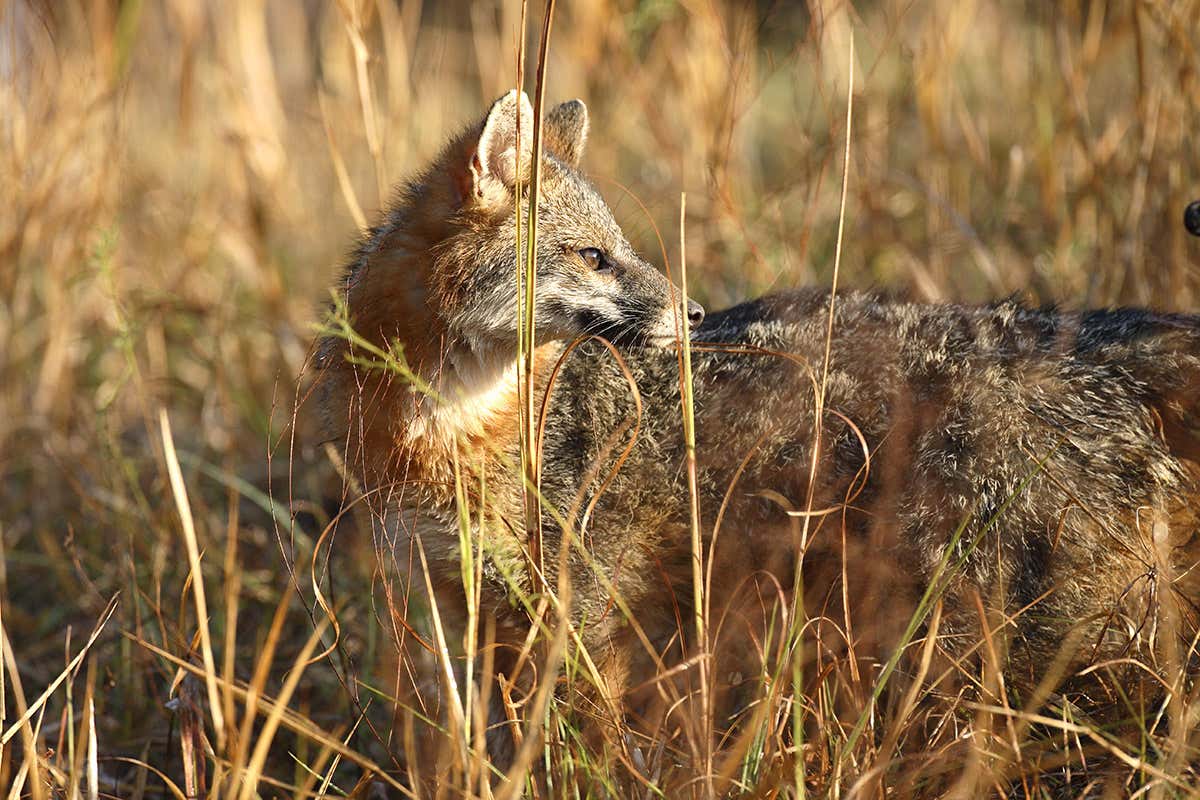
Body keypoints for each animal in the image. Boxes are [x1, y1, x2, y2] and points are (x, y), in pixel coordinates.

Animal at [315, 91, 1200, 784]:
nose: (696, 313)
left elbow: (576, 743)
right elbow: (474, 748)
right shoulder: (448, 604)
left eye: (622, 251)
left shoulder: (578, 607)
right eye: (594, 257)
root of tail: (1080, 333)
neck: (446, 433)